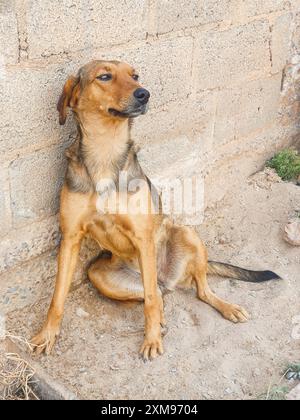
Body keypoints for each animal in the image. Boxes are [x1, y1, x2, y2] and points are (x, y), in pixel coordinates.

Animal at [31, 60, 280, 360]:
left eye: (135, 75)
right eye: (104, 76)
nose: (144, 93)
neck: (105, 153)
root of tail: (167, 277)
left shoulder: (143, 237)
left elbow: (149, 300)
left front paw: (150, 340)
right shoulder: (70, 238)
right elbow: (57, 298)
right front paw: (47, 335)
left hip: (185, 234)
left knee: (195, 290)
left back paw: (227, 307)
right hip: (99, 275)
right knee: (159, 293)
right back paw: (162, 317)